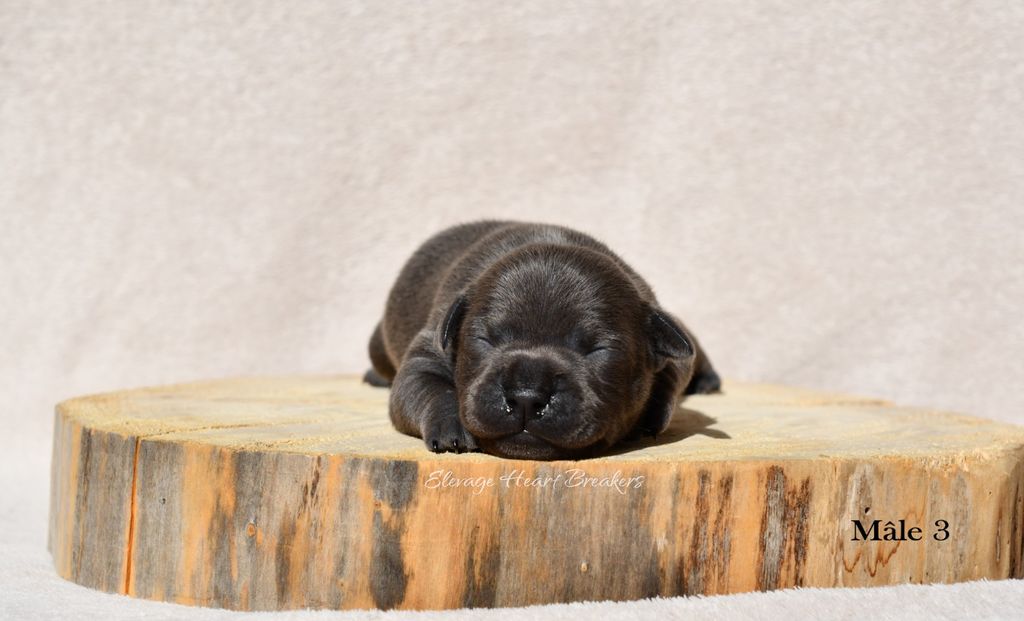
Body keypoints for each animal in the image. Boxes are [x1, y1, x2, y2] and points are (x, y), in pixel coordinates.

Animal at [362, 221, 720, 459]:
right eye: (485, 339)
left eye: (597, 350)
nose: (526, 397)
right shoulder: (427, 351)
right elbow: (429, 387)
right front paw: (452, 428)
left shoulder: (670, 351)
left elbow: (671, 378)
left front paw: (652, 413)